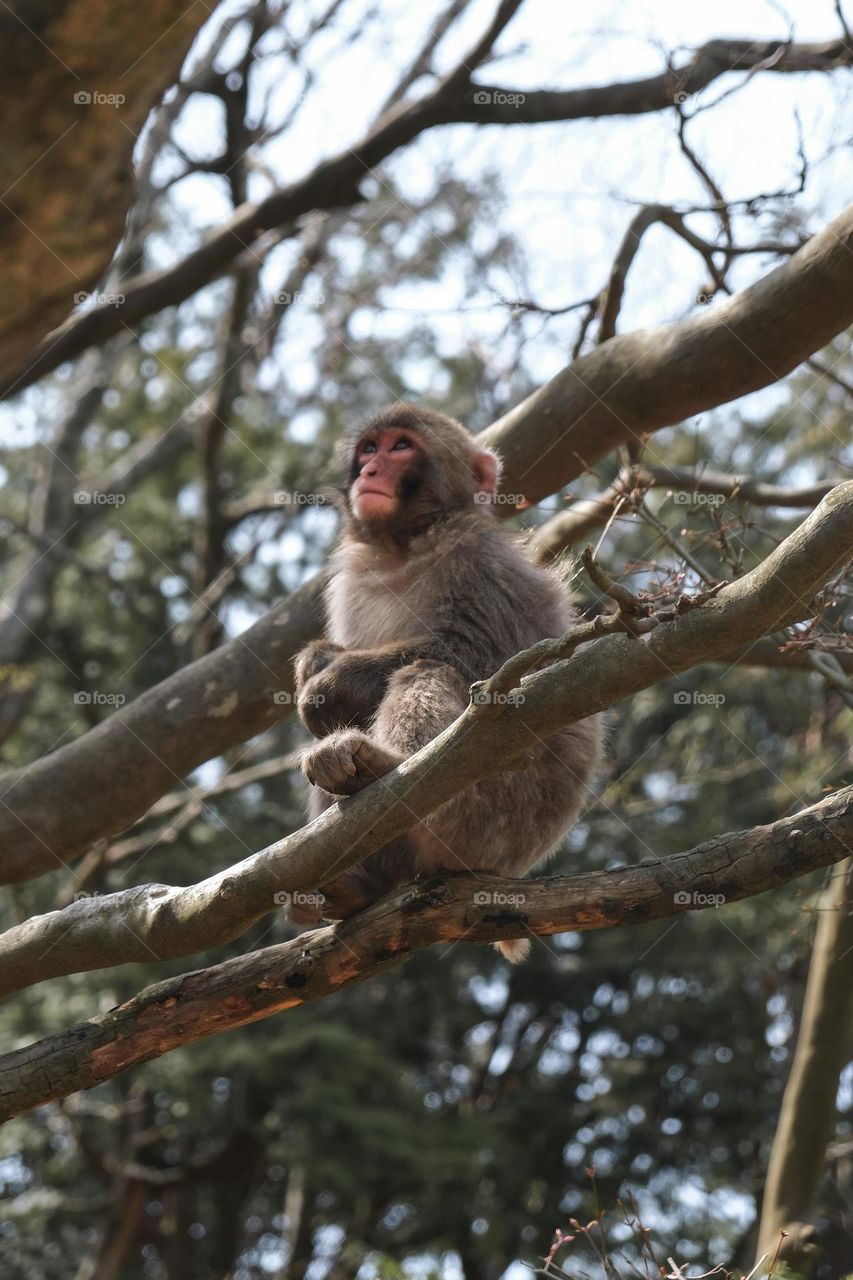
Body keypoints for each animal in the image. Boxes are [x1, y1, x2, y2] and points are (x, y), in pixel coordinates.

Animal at [291, 402, 602, 962]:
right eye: (368, 449)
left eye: (401, 447)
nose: (370, 471)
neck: (404, 545)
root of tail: (508, 868)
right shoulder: (351, 581)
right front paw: (318, 659)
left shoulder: (477, 558)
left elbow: (490, 661)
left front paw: (332, 680)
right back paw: (355, 884)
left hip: (493, 815)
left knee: (431, 674)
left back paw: (381, 764)